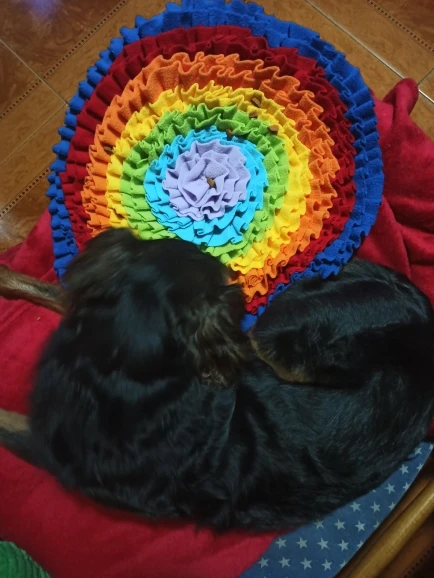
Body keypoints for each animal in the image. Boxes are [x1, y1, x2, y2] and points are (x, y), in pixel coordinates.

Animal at [0, 228, 433, 531]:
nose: (237, 281)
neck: (117, 368)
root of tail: (422, 312)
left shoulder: (47, 448)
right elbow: (56, 293)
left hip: (280, 332)